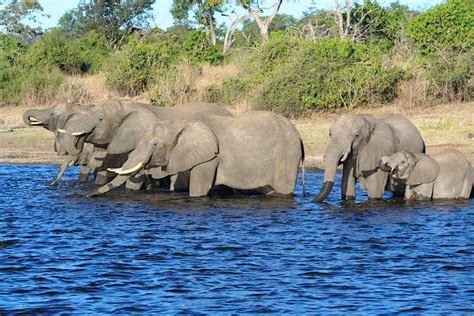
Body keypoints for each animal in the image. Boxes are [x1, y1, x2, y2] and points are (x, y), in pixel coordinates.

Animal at [87, 111, 306, 198]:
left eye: (155, 144)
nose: (89, 195)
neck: (181, 123)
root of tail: (299, 135)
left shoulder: (210, 158)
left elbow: (198, 189)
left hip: (287, 156)